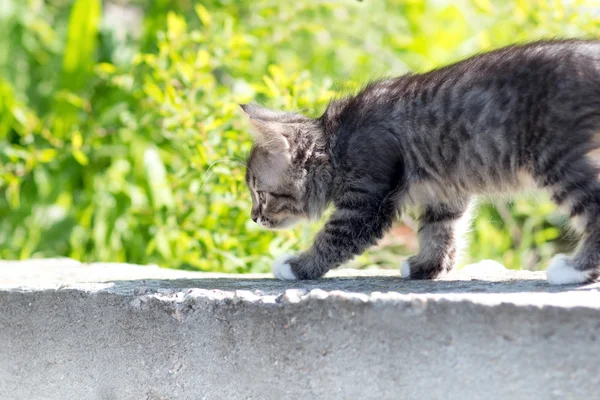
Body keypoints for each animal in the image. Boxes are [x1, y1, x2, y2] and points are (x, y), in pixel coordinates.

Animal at [241, 39, 600, 284]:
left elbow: (333, 238)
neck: (337, 142)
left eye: (260, 193)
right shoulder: (444, 192)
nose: (254, 217)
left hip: (558, 159)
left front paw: (297, 267)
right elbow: (440, 231)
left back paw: (575, 269)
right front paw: (427, 267)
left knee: (593, 208)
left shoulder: (367, 201)